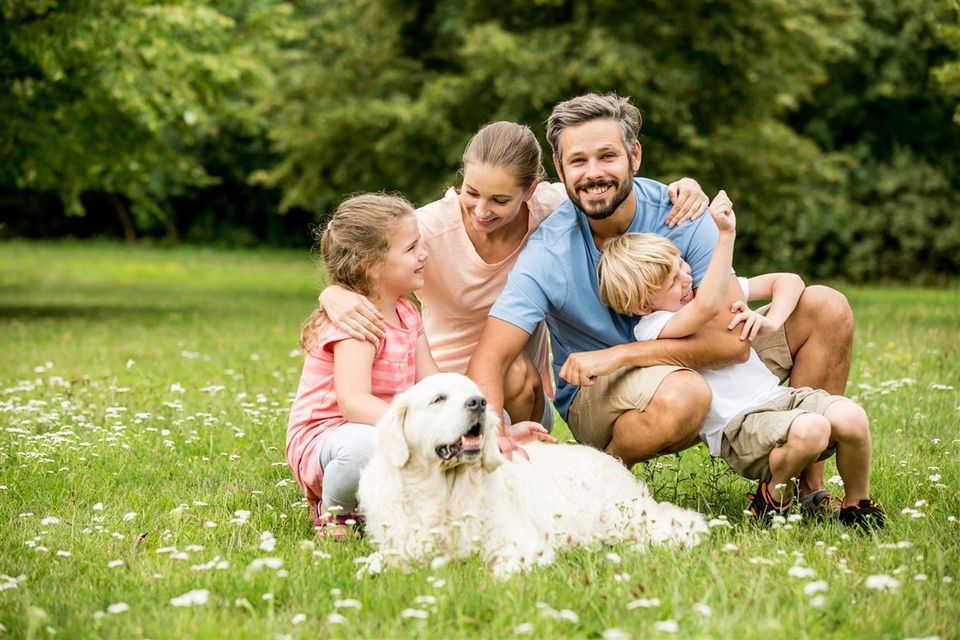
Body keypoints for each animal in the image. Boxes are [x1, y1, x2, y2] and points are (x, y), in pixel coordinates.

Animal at [356, 372, 708, 576]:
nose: (479, 403)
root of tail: (611, 460)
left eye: (475, 393)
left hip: (621, 516)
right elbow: (372, 567)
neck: (445, 493)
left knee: (679, 524)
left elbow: (496, 571)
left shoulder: (520, 544)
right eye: (438, 399)